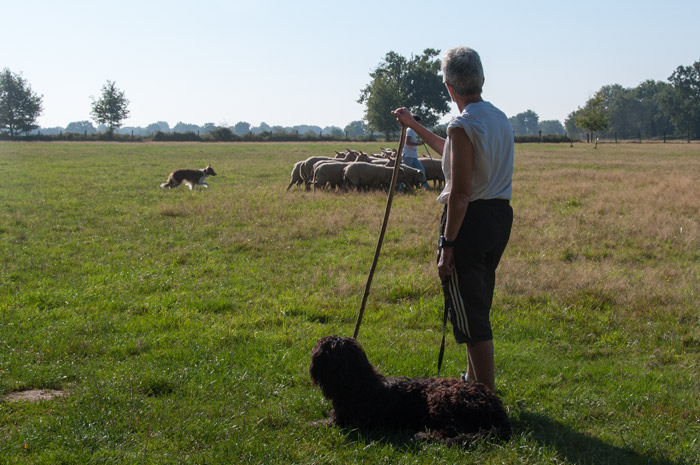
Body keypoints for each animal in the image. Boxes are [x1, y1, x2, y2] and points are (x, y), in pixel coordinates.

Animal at [308, 334, 512, 442]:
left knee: (450, 432)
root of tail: (497, 408)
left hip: (441, 399)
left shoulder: (343, 421)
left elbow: (316, 424)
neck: (357, 381)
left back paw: (423, 435)